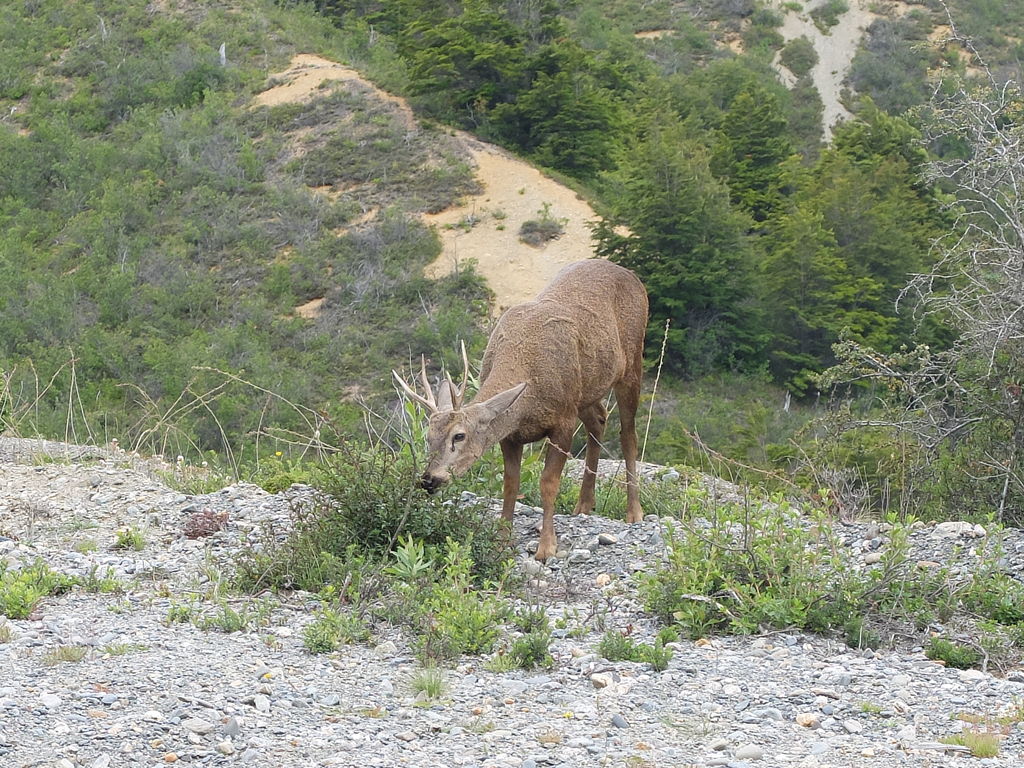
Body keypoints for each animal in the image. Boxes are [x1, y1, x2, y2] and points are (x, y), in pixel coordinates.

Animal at [391, 259, 647, 561]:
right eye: (428, 437)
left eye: (459, 436)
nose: (430, 479)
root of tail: (631, 276)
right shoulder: (510, 434)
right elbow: (510, 484)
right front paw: (502, 541)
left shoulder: (563, 421)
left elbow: (548, 483)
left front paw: (546, 547)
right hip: (586, 389)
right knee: (599, 419)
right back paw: (584, 504)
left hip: (631, 361)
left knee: (628, 435)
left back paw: (634, 511)